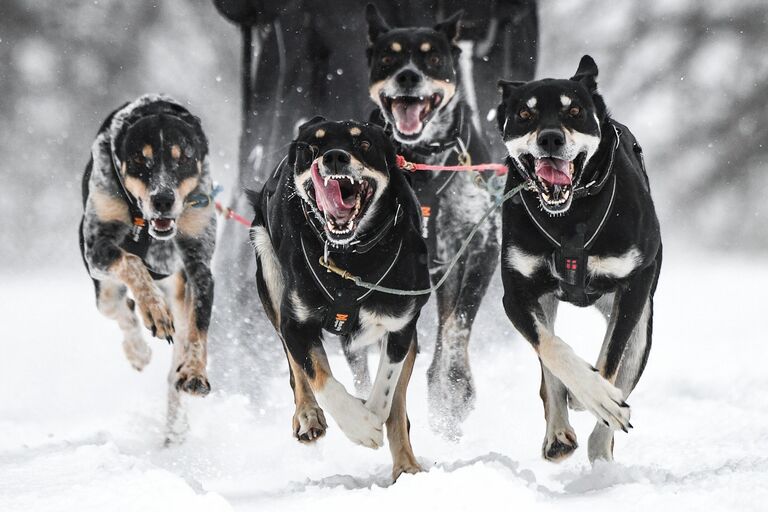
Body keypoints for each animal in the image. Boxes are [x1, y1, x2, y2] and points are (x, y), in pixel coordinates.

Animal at [79, 94, 216, 442]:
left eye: (184, 158)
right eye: (142, 160)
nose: (163, 200)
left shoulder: (198, 263)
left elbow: (198, 329)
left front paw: (195, 372)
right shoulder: (97, 249)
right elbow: (132, 262)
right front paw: (152, 310)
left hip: (178, 292)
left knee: (175, 357)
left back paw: (176, 427)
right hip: (104, 290)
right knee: (121, 311)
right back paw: (138, 349)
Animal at [252, 117, 432, 480]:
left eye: (363, 143)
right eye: (313, 146)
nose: (334, 157)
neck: (349, 259)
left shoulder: (402, 324)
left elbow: (387, 393)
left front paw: (371, 415)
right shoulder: (295, 324)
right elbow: (321, 378)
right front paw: (359, 425)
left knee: (398, 403)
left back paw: (406, 465)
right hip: (270, 275)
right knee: (299, 372)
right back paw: (308, 416)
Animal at [362, 4, 500, 438]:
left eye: (432, 56)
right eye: (388, 57)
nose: (407, 75)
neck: (422, 161)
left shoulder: (481, 245)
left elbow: (457, 324)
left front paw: (451, 390)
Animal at [496, 57, 664, 464]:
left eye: (574, 111)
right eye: (525, 114)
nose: (550, 139)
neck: (571, 217)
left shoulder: (634, 286)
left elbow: (610, 357)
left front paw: (601, 398)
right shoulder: (517, 294)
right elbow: (553, 351)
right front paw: (586, 394)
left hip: (642, 329)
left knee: (622, 376)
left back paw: (601, 445)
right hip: (545, 301)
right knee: (550, 370)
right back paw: (559, 431)